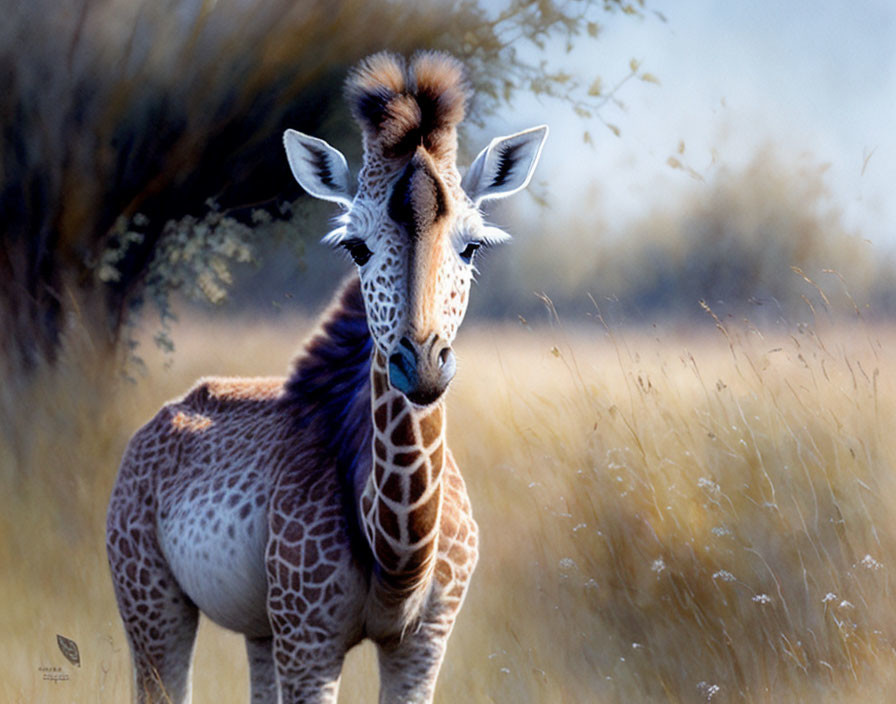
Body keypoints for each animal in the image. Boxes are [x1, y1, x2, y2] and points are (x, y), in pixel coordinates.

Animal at [105, 51, 544, 704]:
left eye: (474, 247)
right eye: (354, 247)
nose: (422, 364)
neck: (396, 555)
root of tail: (154, 422)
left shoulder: (425, 643)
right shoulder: (309, 642)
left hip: (259, 627)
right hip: (151, 601)